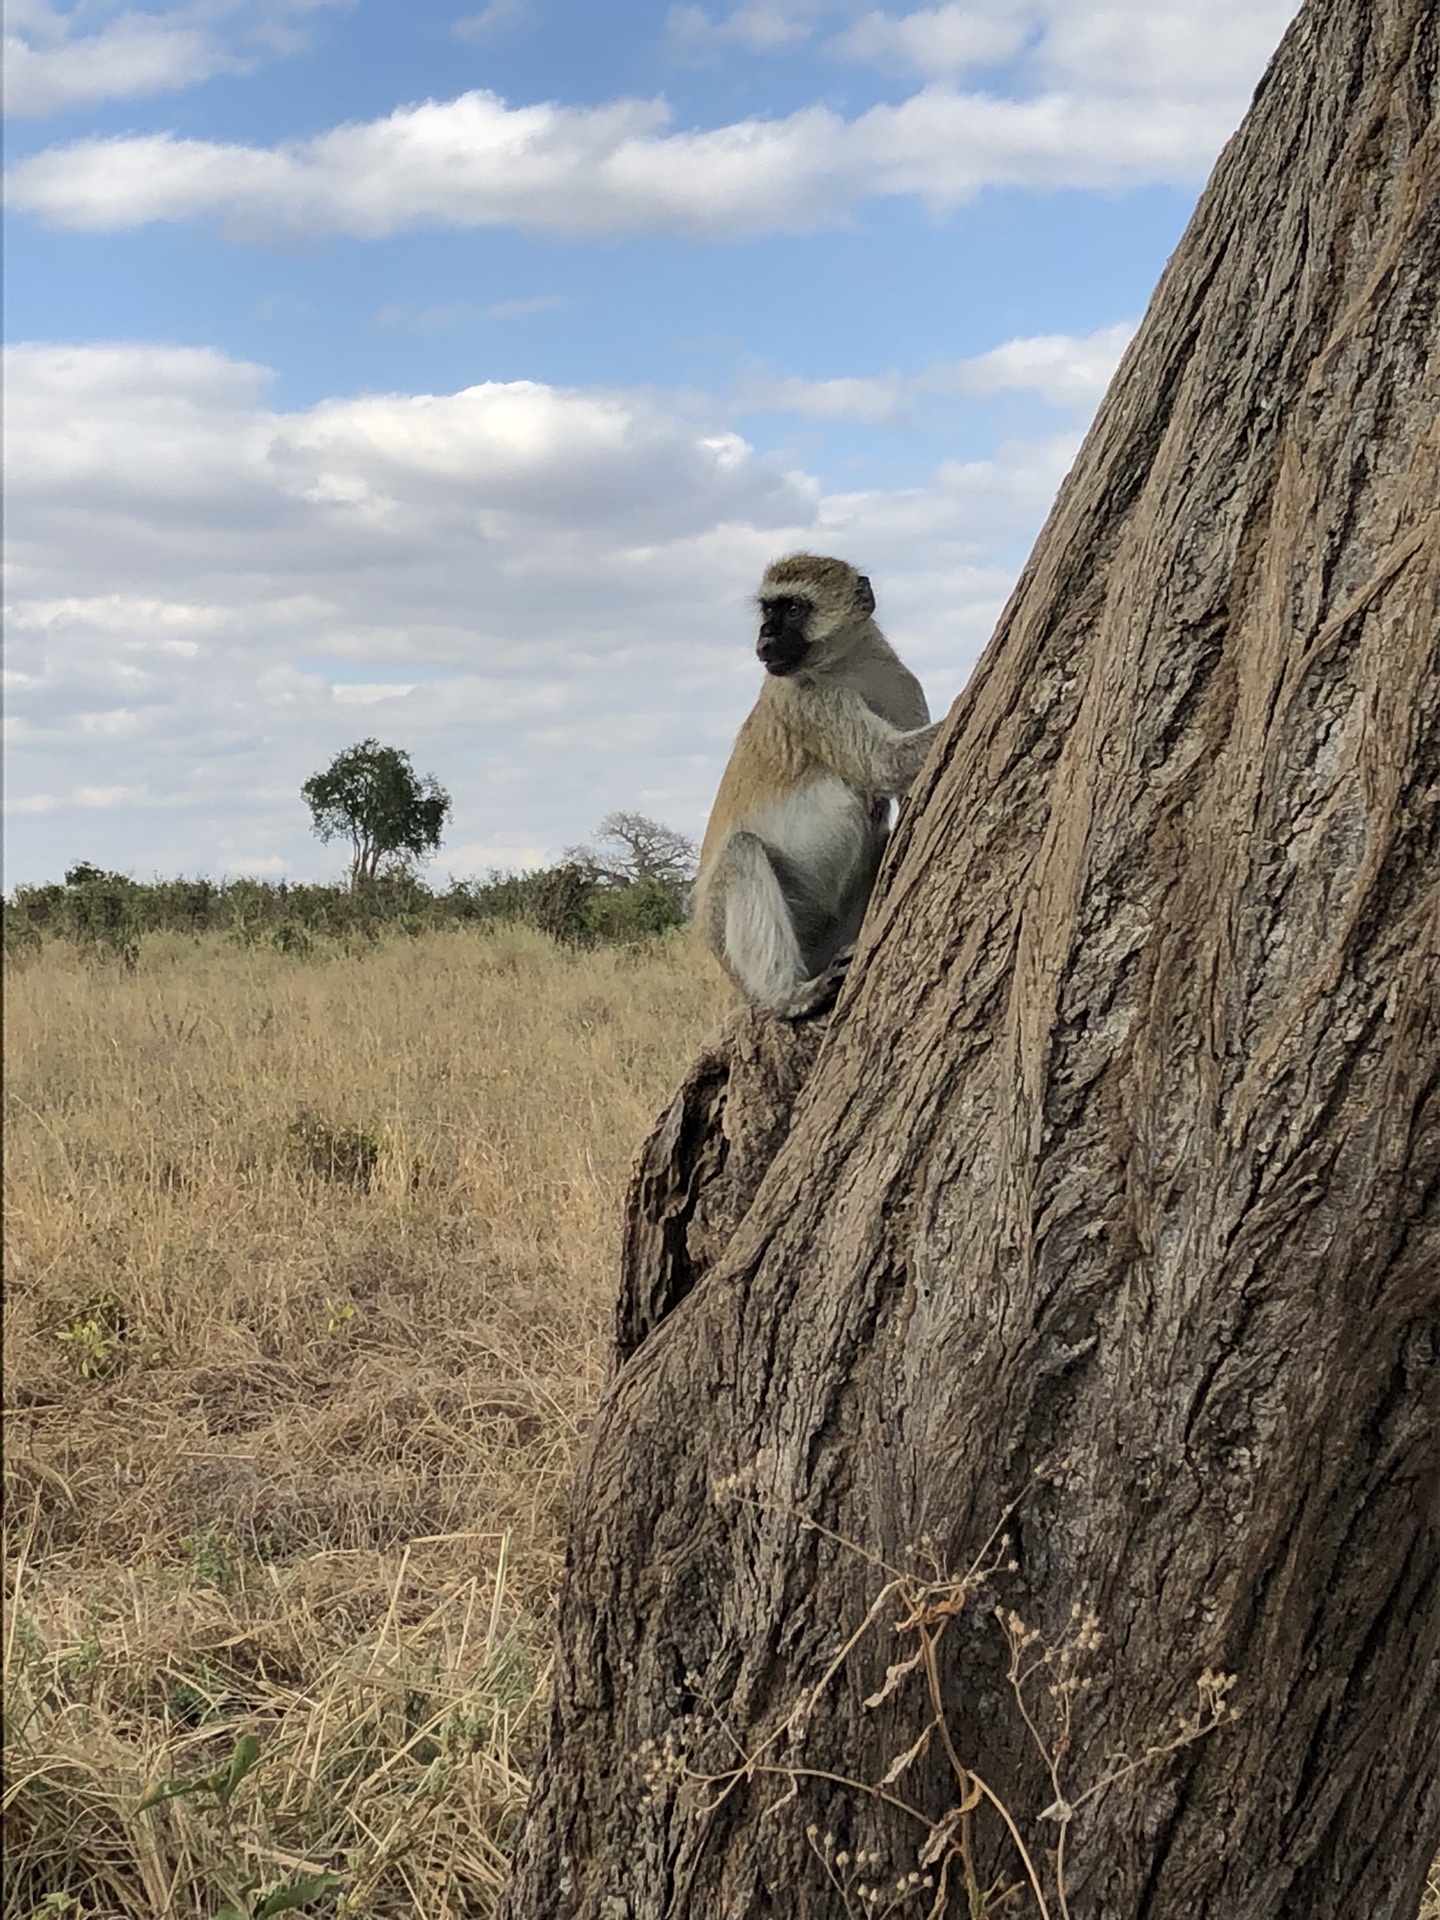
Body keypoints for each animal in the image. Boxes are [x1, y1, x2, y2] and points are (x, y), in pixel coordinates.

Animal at [695, 556, 940, 1021]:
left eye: (792, 609)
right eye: (767, 610)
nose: (765, 636)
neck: (848, 666)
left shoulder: (902, 682)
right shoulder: (809, 701)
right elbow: (883, 763)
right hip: (728, 939)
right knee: (741, 852)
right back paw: (789, 996)